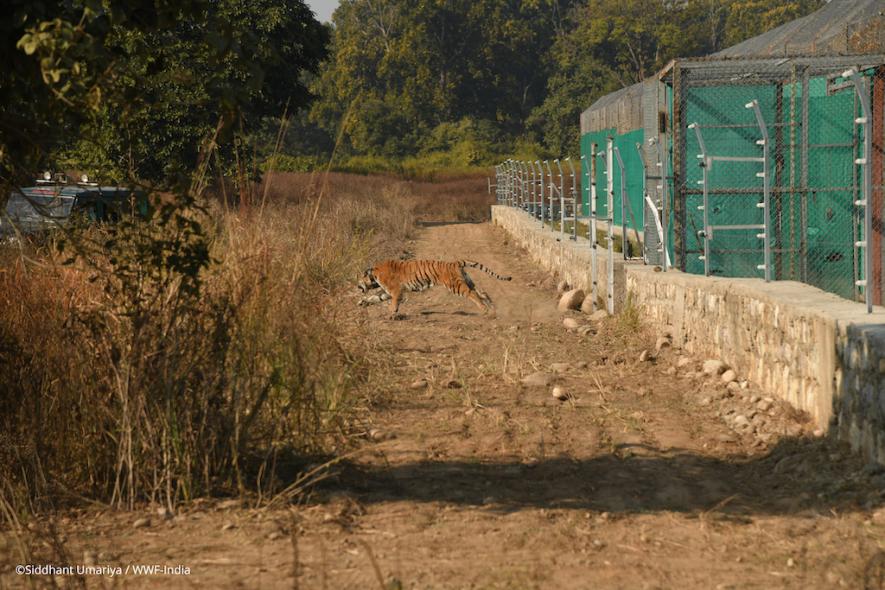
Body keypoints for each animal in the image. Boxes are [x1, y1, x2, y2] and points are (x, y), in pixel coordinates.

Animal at [358, 262, 512, 322]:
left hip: (455, 286)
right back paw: (492, 309)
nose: (357, 287)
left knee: (472, 294)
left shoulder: (395, 291)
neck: (374, 275)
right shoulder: (386, 292)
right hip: (467, 282)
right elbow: (374, 298)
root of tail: (456, 262)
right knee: (482, 292)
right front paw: (362, 302)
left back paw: (485, 310)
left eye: (359, 280)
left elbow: (393, 304)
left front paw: (391, 316)